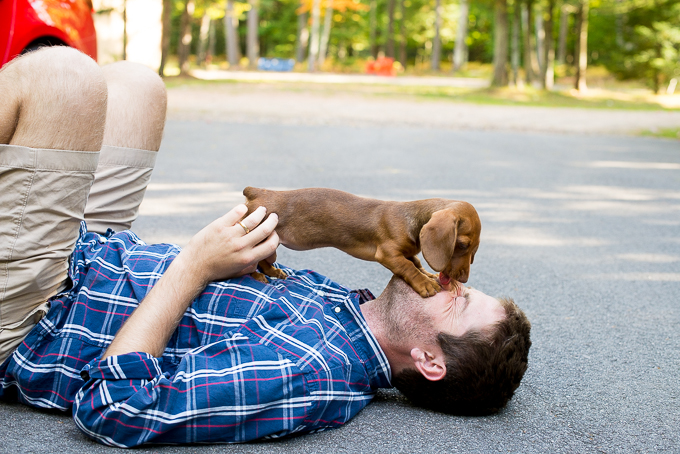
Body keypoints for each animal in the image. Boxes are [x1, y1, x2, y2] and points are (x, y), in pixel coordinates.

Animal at [242, 187, 480, 298]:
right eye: (462, 245)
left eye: (475, 251)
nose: (464, 279)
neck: (411, 219)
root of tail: (257, 192)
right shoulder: (388, 253)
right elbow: (408, 267)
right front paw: (425, 284)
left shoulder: (408, 251)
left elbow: (416, 263)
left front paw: (428, 275)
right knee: (251, 261)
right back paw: (256, 276)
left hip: (269, 242)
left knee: (263, 260)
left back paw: (273, 272)